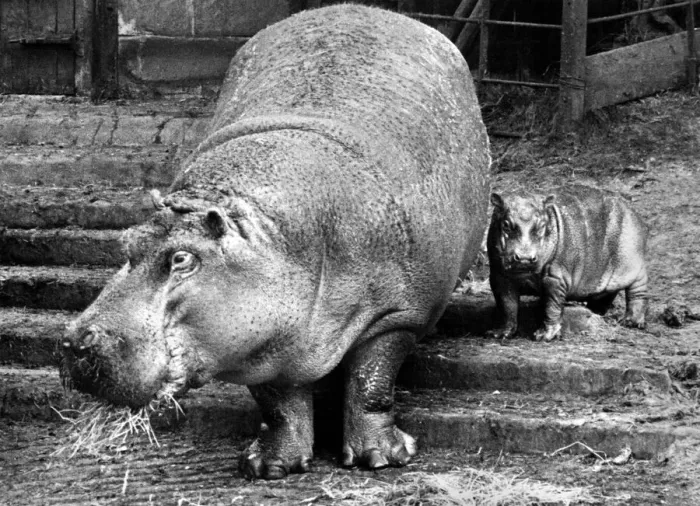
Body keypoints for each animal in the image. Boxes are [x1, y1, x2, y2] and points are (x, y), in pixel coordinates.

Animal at [61, 4, 491, 479]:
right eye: (127, 243)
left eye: (182, 258)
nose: (75, 342)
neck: (271, 238)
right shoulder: (261, 341)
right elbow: (278, 403)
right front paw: (269, 467)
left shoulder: (398, 315)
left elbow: (371, 383)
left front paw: (381, 459)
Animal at [487, 185, 648, 342]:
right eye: (506, 224)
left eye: (542, 225)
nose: (524, 258)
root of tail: (631, 207)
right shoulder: (499, 277)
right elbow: (507, 306)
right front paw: (499, 334)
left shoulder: (554, 278)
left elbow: (552, 306)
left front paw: (543, 336)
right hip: (604, 276)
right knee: (605, 294)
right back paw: (596, 314)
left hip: (634, 265)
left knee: (637, 292)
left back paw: (631, 322)